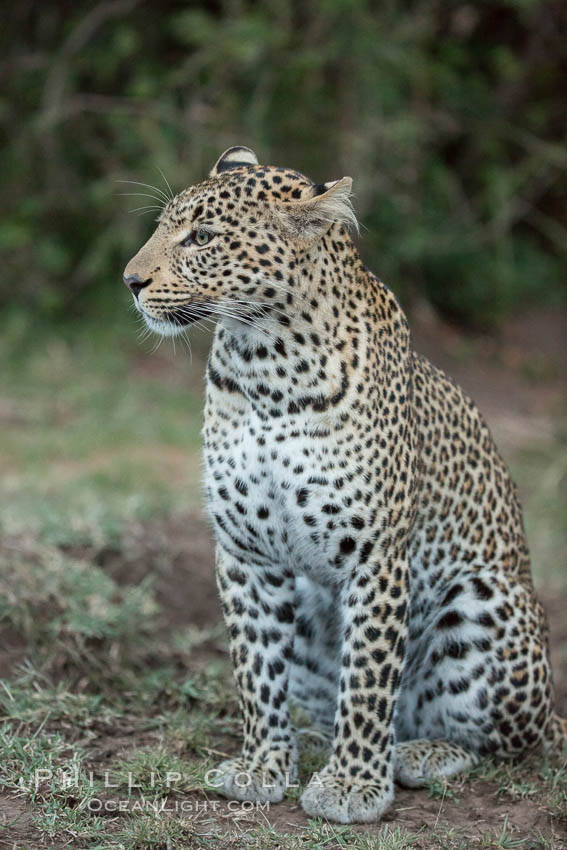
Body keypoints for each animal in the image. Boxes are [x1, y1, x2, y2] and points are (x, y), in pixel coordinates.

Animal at [124, 146, 567, 820]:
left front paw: (353, 786)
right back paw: (311, 740)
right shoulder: (245, 552)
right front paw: (262, 765)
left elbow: (366, 679)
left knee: (500, 743)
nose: (130, 280)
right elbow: (255, 668)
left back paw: (416, 755)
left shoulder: (375, 556)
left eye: (202, 237)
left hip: (486, 599)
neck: (265, 367)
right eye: (162, 227)